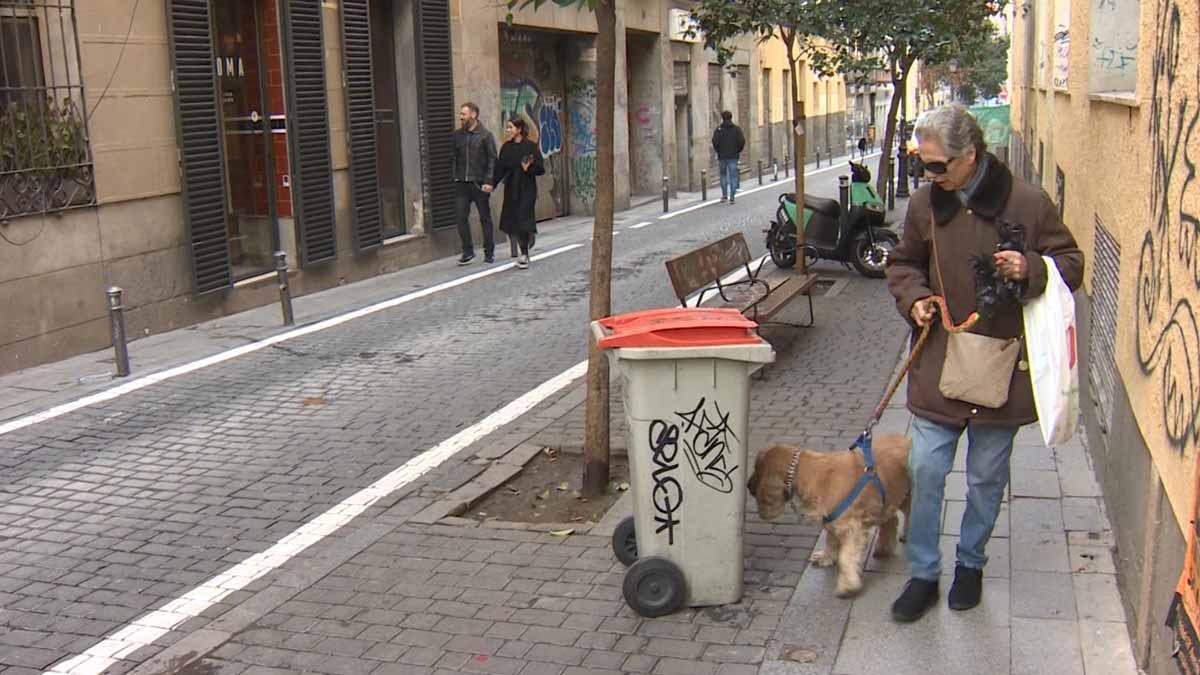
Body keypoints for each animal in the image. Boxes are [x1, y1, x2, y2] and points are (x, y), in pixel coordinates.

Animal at [744, 429, 912, 593]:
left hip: (906, 496)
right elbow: (830, 540)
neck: (808, 472)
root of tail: (909, 439)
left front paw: (848, 584)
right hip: (887, 498)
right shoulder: (831, 520)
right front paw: (826, 558)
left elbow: (846, 556)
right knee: (892, 520)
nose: (747, 485)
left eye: (756, 470)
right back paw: (884, 548)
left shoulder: (853, 528)